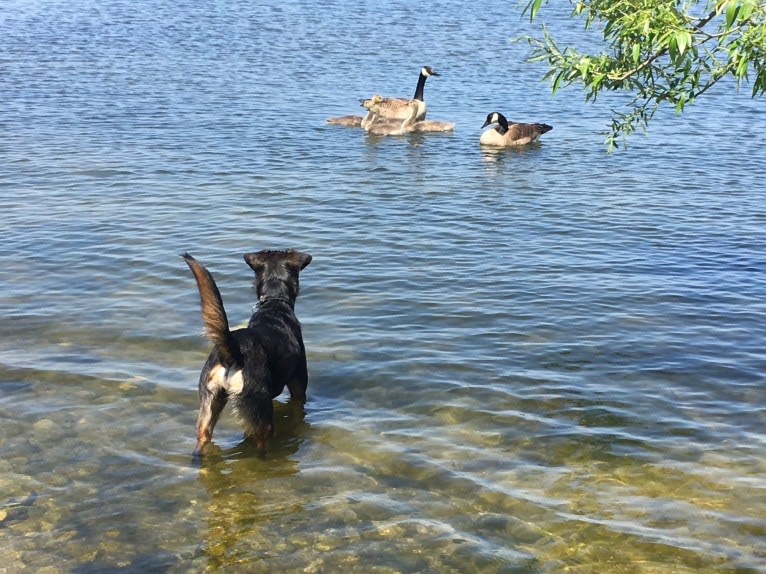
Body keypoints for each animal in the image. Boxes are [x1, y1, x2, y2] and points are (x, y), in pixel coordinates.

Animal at [182, 250, 312, 456]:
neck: (274, 303)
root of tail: (232, 354)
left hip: (209, 402)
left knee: (202, 438)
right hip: (259, 410)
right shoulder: (298, 386)